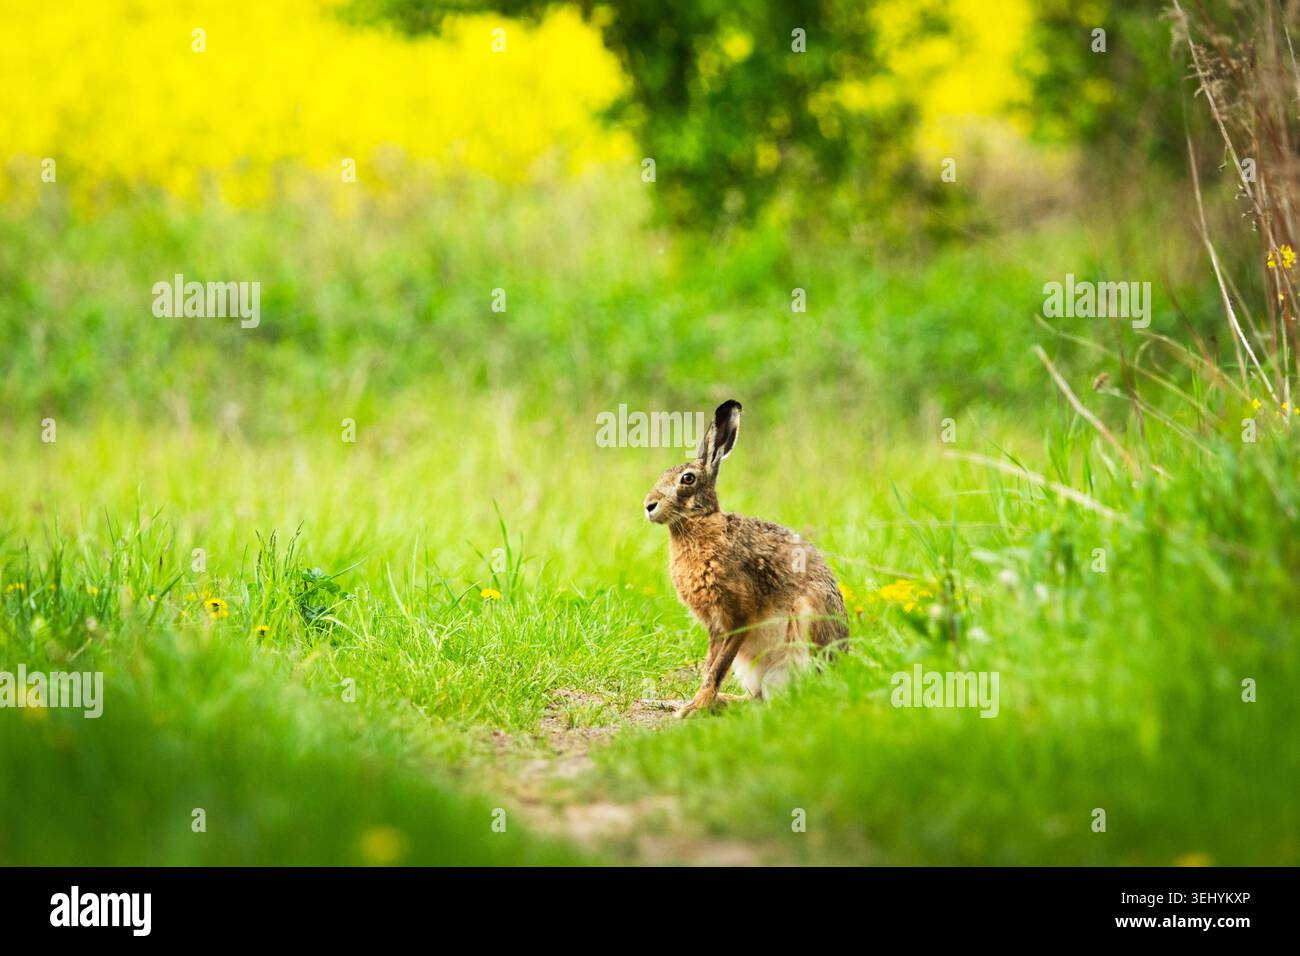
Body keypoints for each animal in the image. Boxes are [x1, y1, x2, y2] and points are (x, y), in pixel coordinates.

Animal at [643, 400, 849, 718]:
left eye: (687, 479)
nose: (649, 505)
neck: (700, 524)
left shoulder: (739, 617)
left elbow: (717, 668)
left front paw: (695, 708)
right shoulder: (715, 627)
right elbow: (710, 666)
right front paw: (694, 704)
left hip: (807, 622)